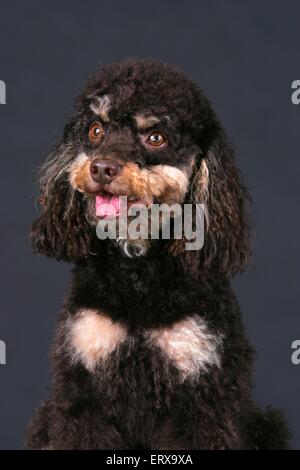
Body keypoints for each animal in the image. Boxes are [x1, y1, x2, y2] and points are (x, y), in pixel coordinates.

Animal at [26, 59, 290, 452]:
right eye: (95, 130)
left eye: (156, 138)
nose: (101, 168)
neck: (138, 274)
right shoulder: (82, 388)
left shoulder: (203, 395)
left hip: (267, 423)